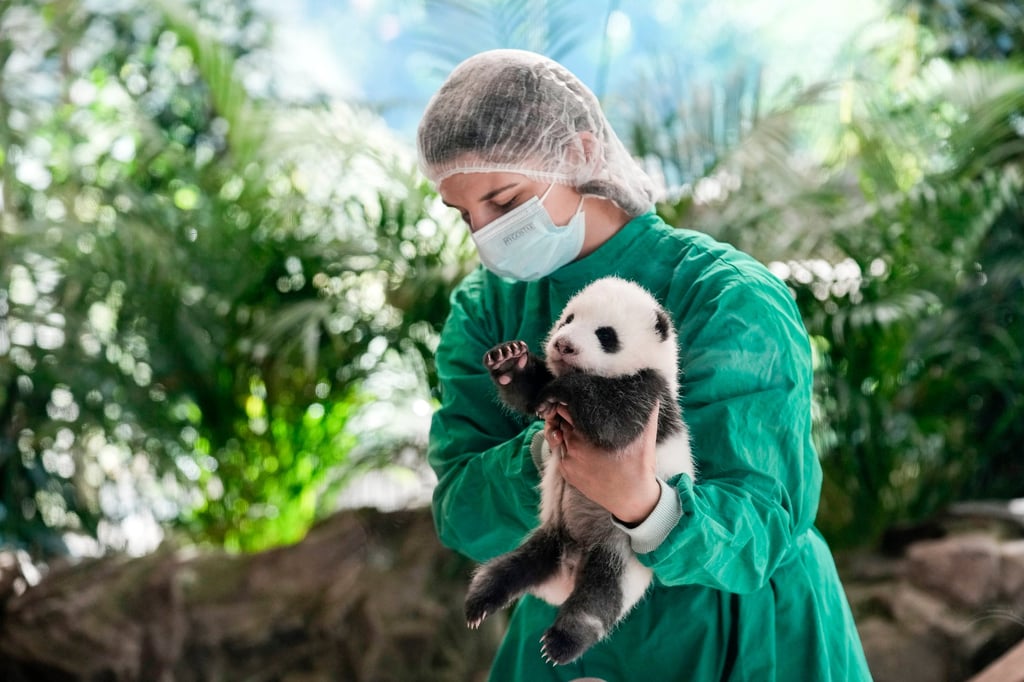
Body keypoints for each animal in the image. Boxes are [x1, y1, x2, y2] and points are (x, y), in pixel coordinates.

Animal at [465, 276, 695, 665]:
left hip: (619, 555)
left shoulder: (651, 397)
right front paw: (509, 361)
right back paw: (479, 602)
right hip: (548, 538)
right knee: (506, 569)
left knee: (598, 601)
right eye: (568, 319)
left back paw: (562, 642)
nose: (563, 344)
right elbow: (531, 394)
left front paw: (566, 389)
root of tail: (567, 571)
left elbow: (613, 422)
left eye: (605, 334)